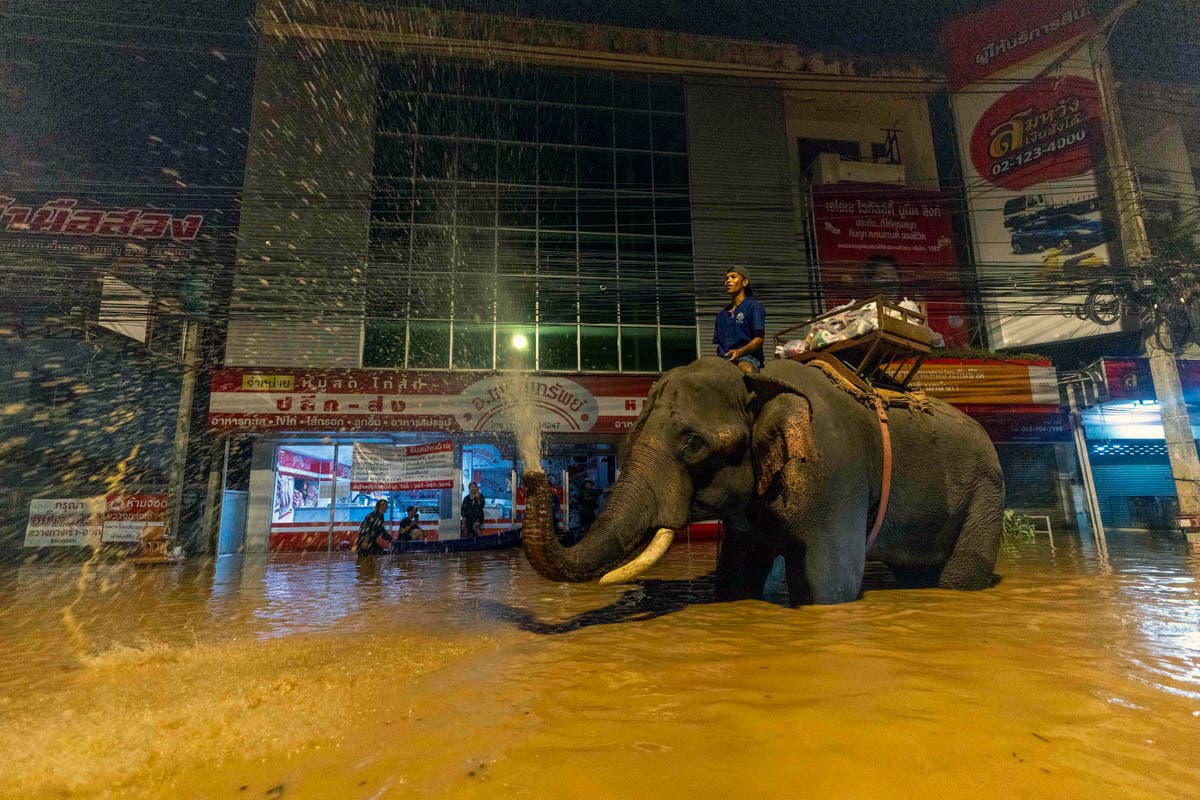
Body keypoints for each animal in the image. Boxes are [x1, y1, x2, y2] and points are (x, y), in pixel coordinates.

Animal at [523, 357, 1003, 606]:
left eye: (693, 443)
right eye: (627, 440)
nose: (532, 474)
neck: (758, 378)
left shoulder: (835, 473)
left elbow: (832, 584)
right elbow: (738, 574)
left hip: (986, 490)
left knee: (961, 573)